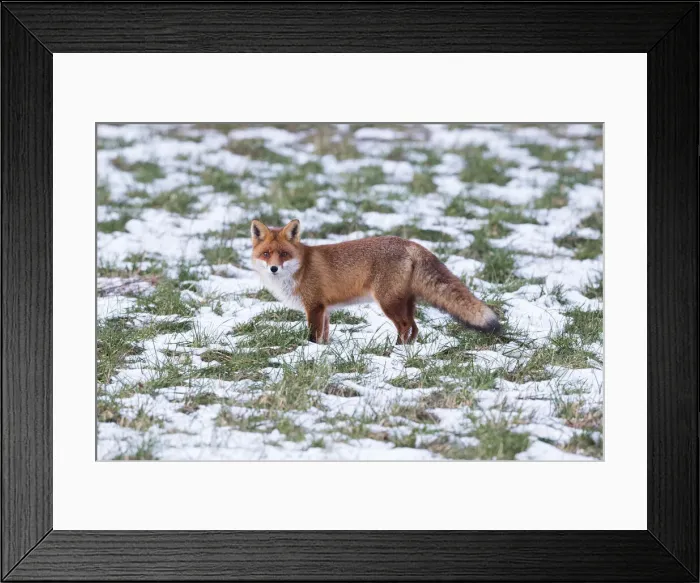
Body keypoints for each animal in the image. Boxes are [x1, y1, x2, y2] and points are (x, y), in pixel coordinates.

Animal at [250, 218, 500, 344]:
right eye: (266, 254)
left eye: (284, 254)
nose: (273, 268)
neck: (301, 269)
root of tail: (409, 243)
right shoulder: (325, 309)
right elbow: (325, 335)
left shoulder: (314, 306)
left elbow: (313, 336)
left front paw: (311, 351)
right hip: (404, 301)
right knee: (415, 327)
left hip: (388, 302)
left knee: (405, 326)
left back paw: (395, 350)